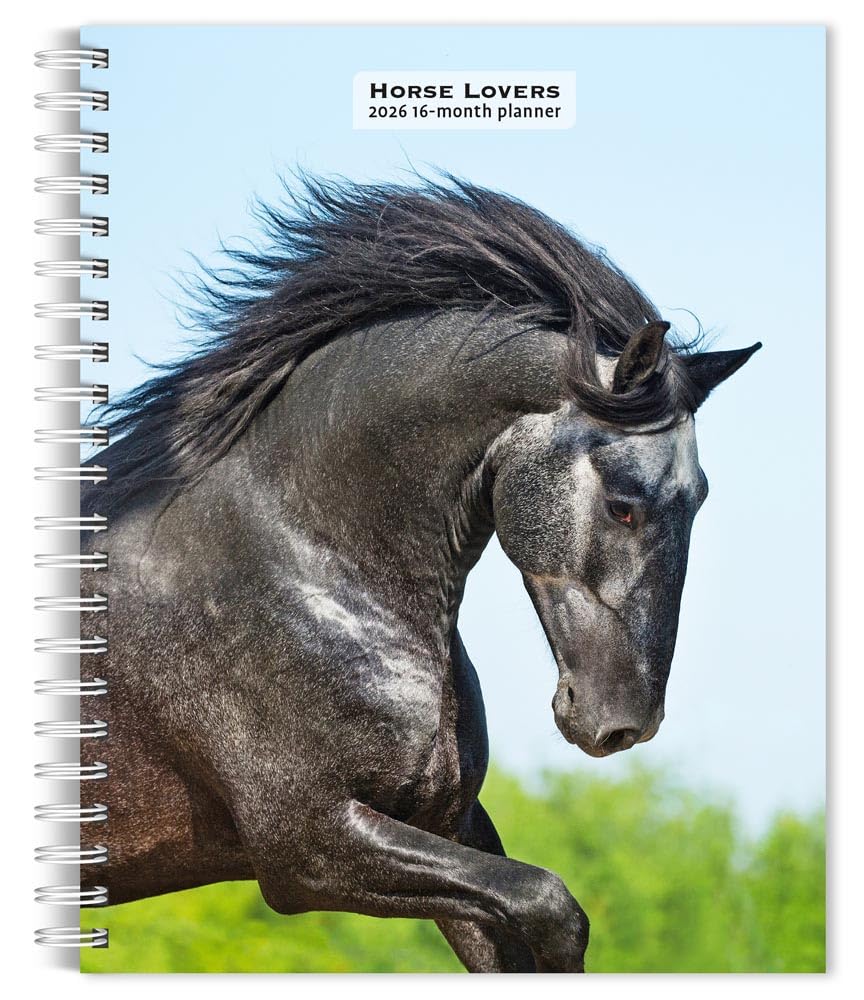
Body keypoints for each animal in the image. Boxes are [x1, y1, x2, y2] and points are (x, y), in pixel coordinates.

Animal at [80, 176, 759, 973]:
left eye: (700, 497)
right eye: (624, 503)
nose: (624, 723)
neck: (306, 559)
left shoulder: (446, 824)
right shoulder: (307, 846)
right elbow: (552, 908)